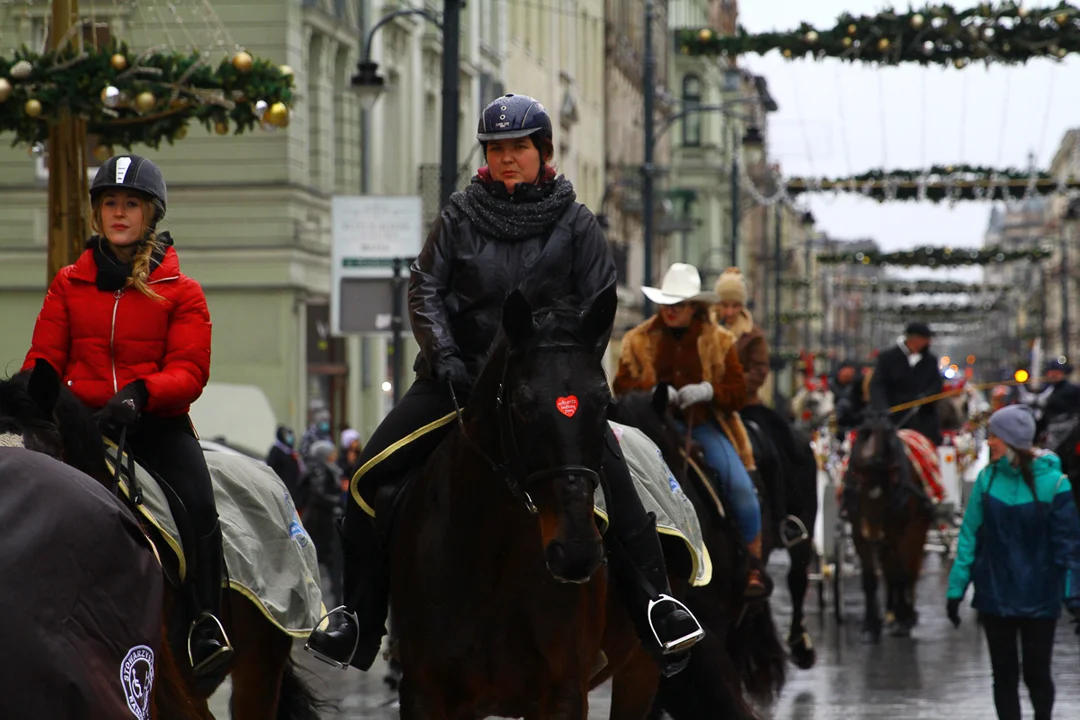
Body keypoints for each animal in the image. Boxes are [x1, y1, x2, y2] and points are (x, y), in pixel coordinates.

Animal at [842, 410, 937, 643]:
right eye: (859, 488)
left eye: (887, 491)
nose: (873, 533)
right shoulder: (859, 533)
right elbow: (871, 578)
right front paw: (870, 626)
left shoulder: (905, 532)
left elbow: (902, 574)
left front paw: (903, 620)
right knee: (890, 570)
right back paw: (891, 612)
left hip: (915, 530)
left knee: (908, 571)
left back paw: (906, 614)